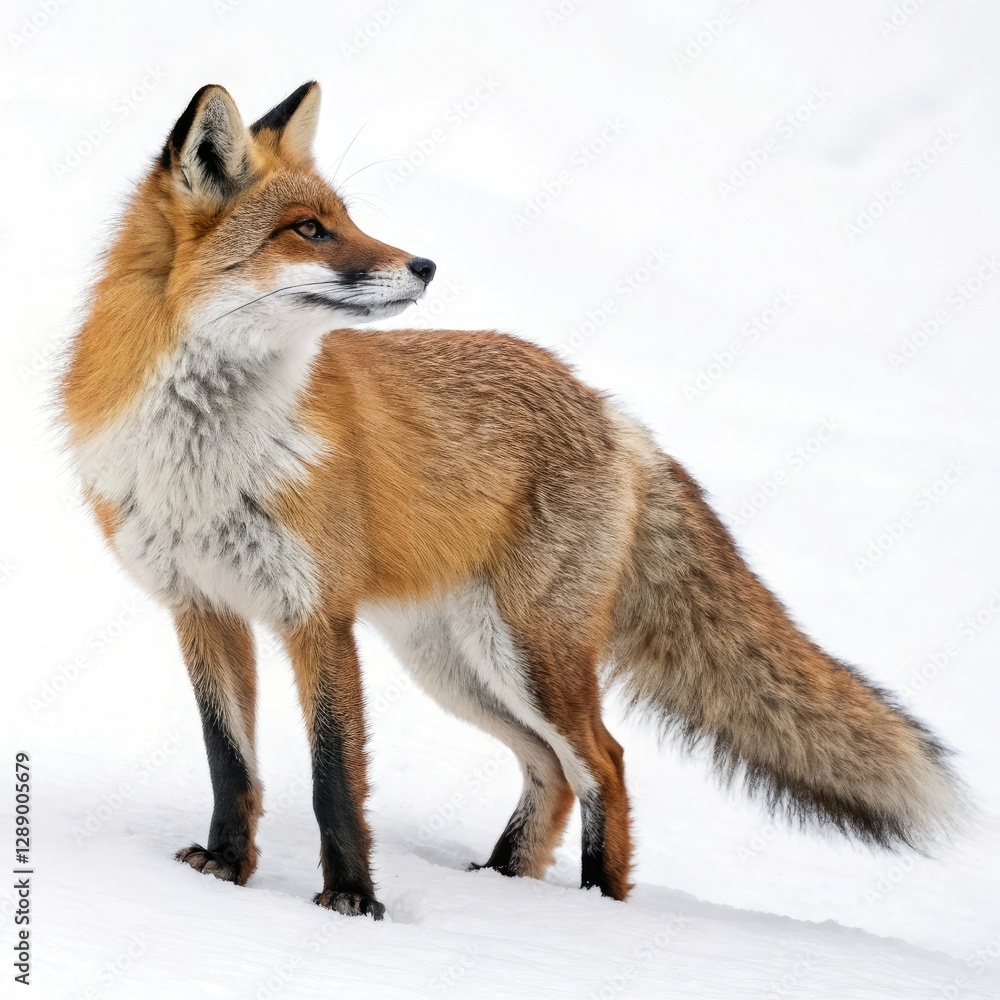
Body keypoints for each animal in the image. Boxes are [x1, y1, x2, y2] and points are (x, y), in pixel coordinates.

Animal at [59, 82, 964, 919]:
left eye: (347, 218)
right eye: (307, 230)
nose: (424, 265)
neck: (205, 457)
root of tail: (606, 407)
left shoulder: (318, 612)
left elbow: (332, 776)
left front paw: (353, 901)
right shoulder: (201, 605)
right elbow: (231, 764)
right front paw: (224, 869)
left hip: (528, 653)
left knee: (604, 762)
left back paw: (597, 906)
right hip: (455, 664)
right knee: (550, 769)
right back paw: (507, 885)